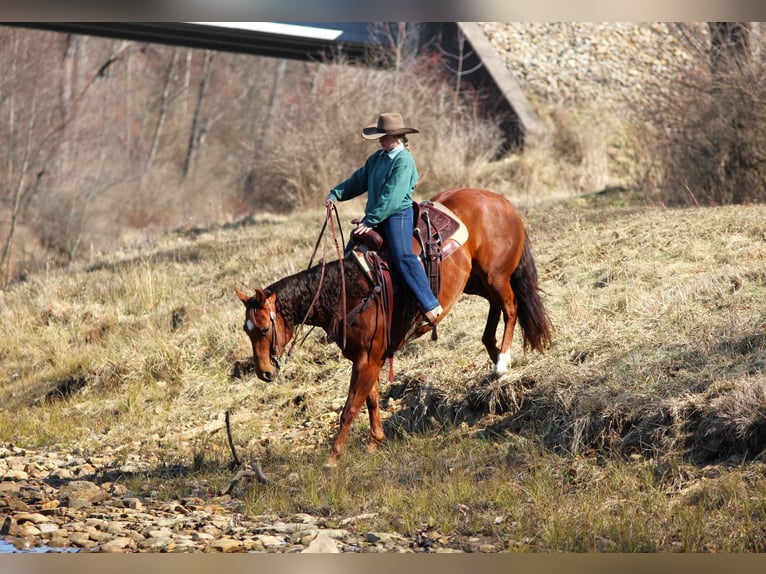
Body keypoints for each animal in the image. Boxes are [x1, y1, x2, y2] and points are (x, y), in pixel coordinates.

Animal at [236, 187, 552, 465]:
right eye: (246, 330)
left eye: (263, 329)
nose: (264, 372)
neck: (347, 291)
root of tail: (502, 202)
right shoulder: (367, 358)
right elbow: (372, 399)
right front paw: (375, 441)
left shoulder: (367, 358)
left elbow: (351, 407)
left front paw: (333, 457)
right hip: (476, 280)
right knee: (496, 308)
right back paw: (494, 353)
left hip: (495, 276)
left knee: (511, 307)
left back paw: (502, 361)